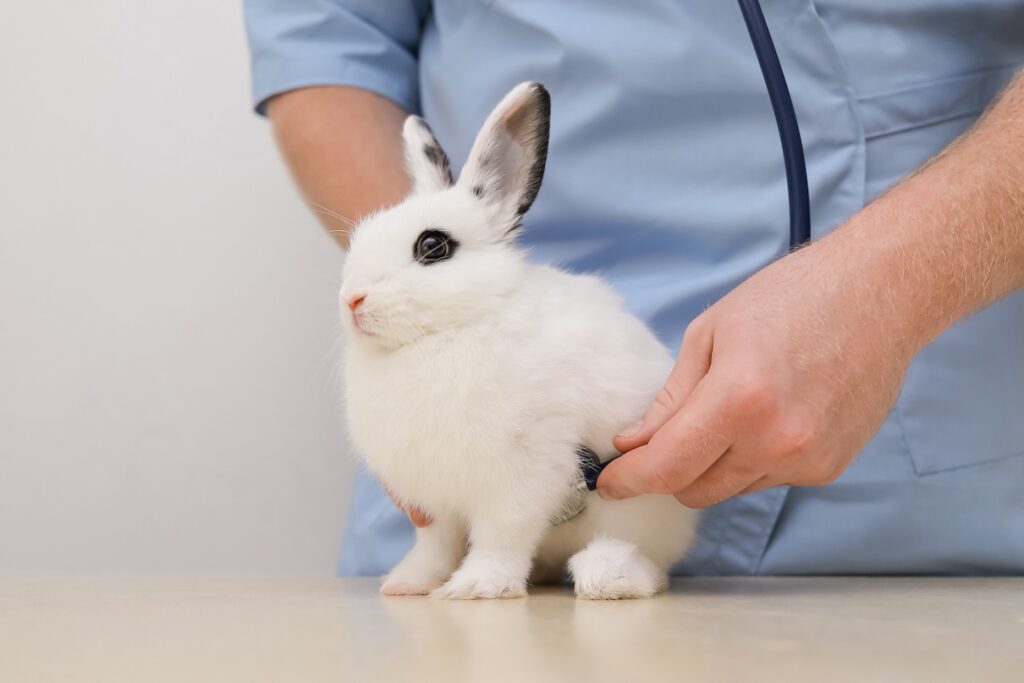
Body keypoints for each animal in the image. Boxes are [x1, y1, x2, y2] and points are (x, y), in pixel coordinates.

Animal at [339, 82, 698, 600]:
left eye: (432, 246)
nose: (351, 299)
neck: (450, 332)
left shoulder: (523, 475)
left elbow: (501, 536)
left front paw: (477, 586)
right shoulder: (435, 502)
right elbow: (436, 545)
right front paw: (409, 583)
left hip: (636, 507)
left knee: (647, 562)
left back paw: (607, 575)